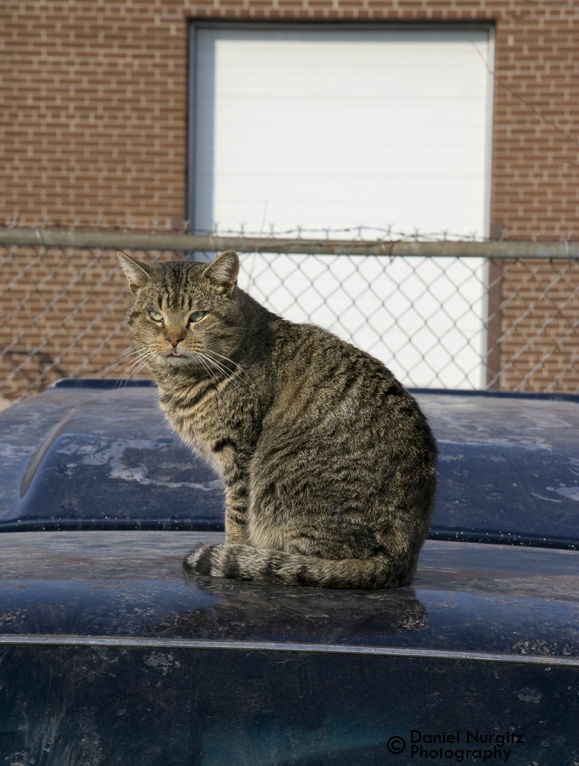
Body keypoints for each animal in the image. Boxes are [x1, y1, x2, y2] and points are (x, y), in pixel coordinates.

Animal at [118, 249, 438, 592]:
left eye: (197, 315)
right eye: (155, 315)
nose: (174, 339)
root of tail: (400, 560)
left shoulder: (239, 455)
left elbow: (236, 515)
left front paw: (233, 549)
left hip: (279, 482)